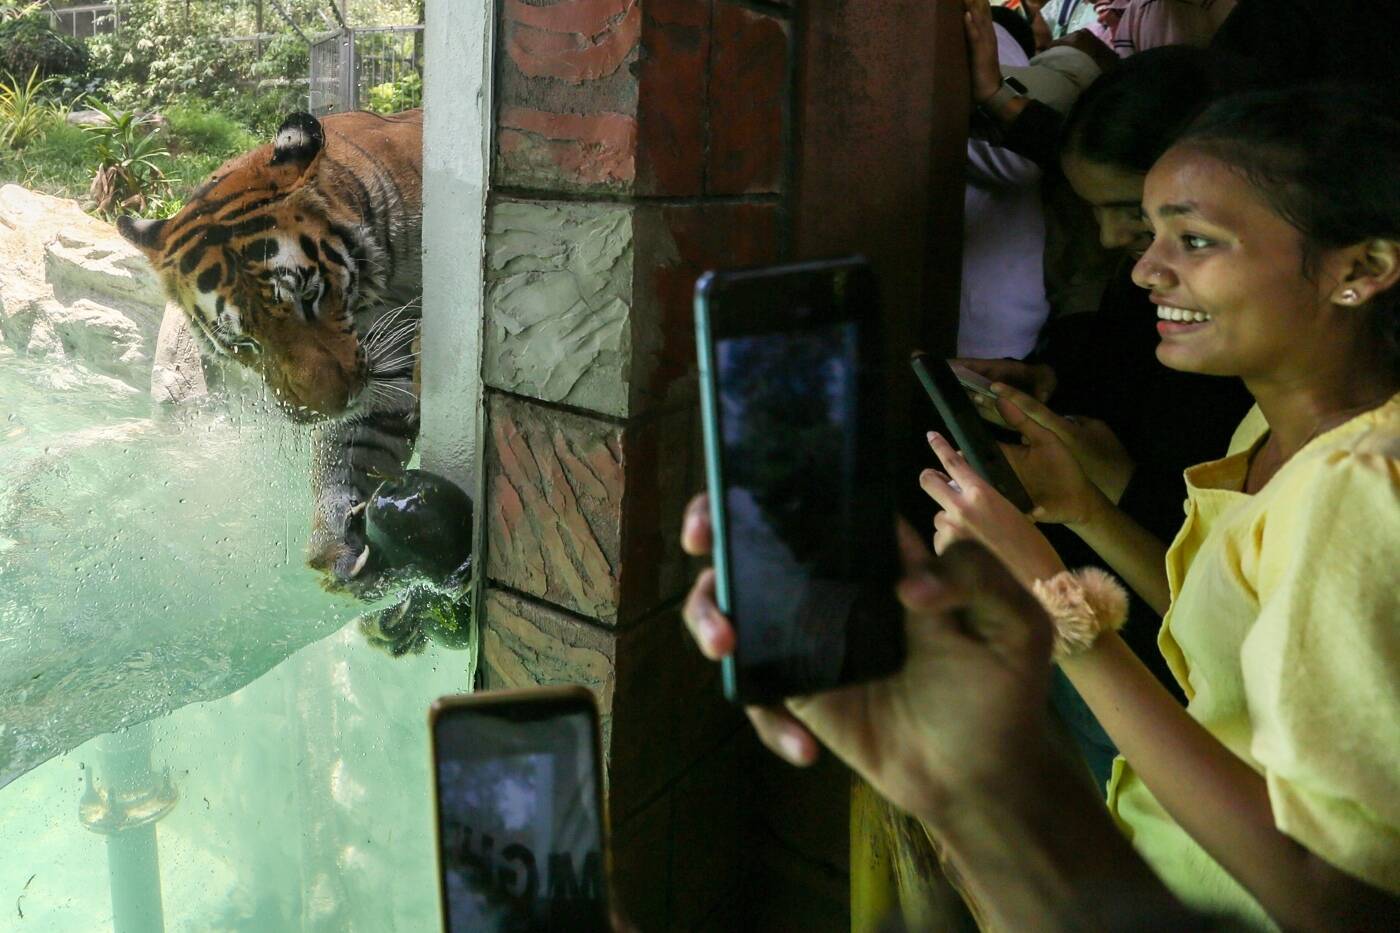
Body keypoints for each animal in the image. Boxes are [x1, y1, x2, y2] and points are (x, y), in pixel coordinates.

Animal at [117, 109, 422, 585]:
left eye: (310, 295)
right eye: (243, 341)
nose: (329, 407)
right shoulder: (384, 378)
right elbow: (351, 452)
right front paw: (337, 544)